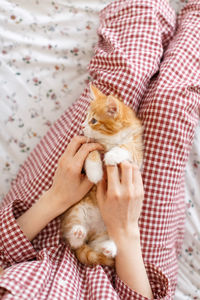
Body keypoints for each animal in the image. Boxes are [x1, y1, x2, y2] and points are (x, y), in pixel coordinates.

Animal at [60, 84, 143, 264]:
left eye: (94, 121)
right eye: (86, 117)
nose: (82, 126)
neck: (111, 139)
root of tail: (92, 232)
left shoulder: (136, 153)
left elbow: (127, 148)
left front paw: (112, 155)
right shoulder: (90, 145)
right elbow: (91, 153)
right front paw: (95, 172)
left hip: (107, 230)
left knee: (99, 247)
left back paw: (109, 248)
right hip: (76, 210)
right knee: (75, 241)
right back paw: (78, 233)